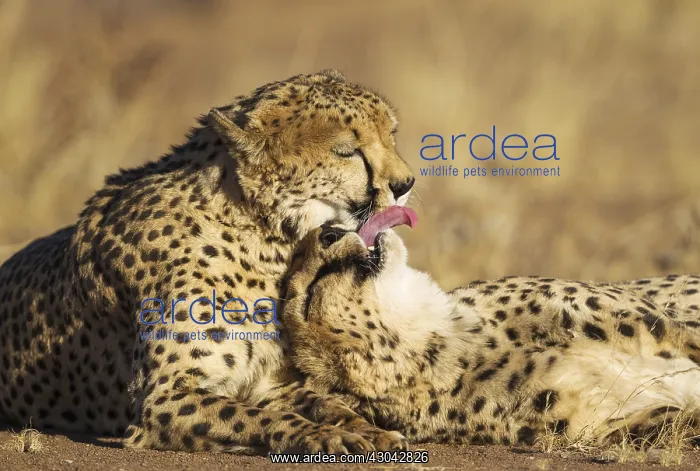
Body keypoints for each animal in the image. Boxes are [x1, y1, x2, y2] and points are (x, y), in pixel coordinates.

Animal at [0, 69, 416, 454]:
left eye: (392, 135)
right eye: (346, 151)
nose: (405, 184)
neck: (263, 237)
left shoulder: (270, 384)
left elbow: (324, 403)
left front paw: (368, 430)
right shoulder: (162, 399)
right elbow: (261, 417)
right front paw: (327, 437)